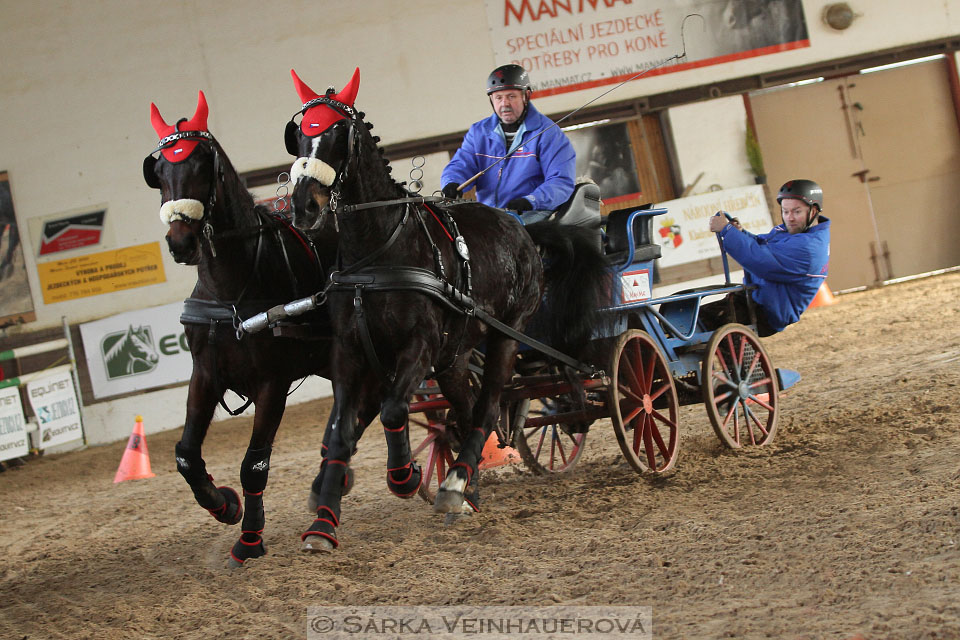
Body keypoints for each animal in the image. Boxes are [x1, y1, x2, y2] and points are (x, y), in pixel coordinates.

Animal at [146, 90, 360, 564]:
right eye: (160, 170)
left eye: (201, 164)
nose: (181, 242)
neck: (232, 289)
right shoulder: (206, 374)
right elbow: (186, 454)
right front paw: (223, 504)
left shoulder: (272, 383)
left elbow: (254, 463)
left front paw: (249, 538)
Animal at [284, 69, 608, 552]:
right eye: (300, 135)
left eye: (339, 133)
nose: (305, 205)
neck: (377, 252)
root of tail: (522, 231)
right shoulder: (350, 351)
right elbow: (341, 429)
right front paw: (323, 522)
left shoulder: (418, 346)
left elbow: (393, 411)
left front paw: (404, 476)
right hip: (455, 356)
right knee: (466, 409)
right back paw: (467, 482)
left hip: (505, 335)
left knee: (488, 406)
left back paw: (454, 485)